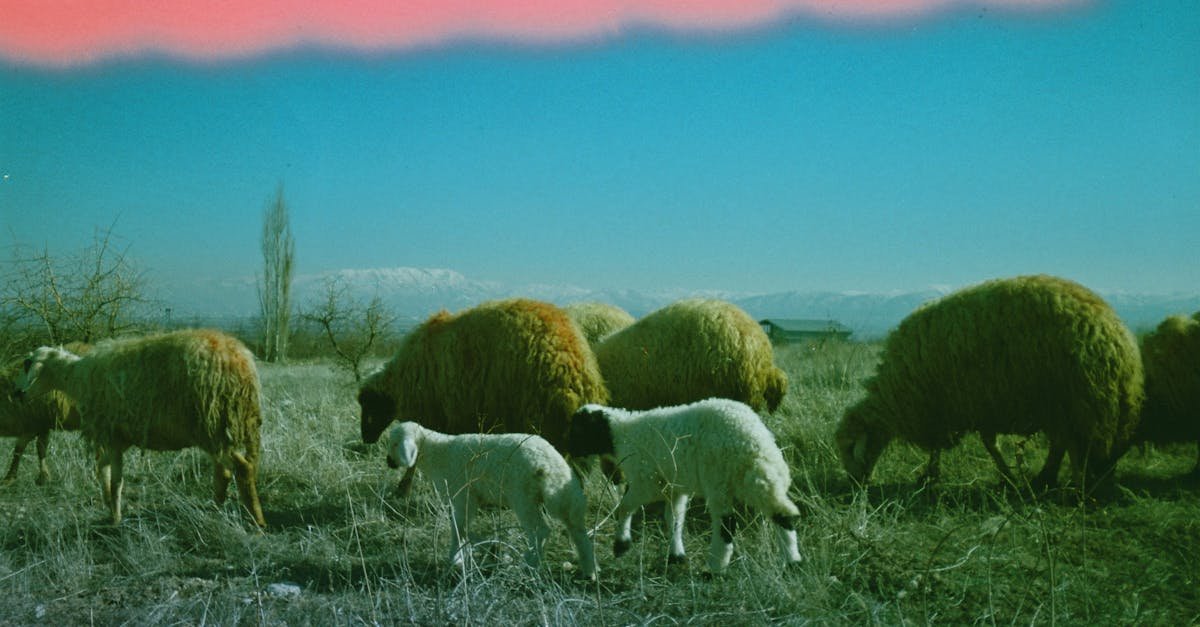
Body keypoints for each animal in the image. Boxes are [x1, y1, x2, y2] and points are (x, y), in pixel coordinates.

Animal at [12, 330, 266, 526]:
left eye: (27, 365)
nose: (16, 394)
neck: (78, 377)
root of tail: (242, 361)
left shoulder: (111, 434)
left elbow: (116, 481)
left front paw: (115, 517)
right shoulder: (118, 438)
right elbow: (102, 470)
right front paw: (108, 505)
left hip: (211, 426)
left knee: (242, 468)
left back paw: (257, 521)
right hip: (219, 429)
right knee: (225, 471)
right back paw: (217, 508)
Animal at [385, 421, 597, 579]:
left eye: (394, 444)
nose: (388, 462)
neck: (438, 453)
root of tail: (550, 466)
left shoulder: (462, 495)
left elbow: (458, 527)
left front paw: (455, 558)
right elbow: (463, 528)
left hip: (523, 496)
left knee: (541, 530)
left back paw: (528, 565)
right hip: (564, 495)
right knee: (576, 529)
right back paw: (589, 570)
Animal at [565, 398, 803, 573]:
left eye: (578, 429)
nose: (568, 451)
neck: (621, 435)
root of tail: (754, 442)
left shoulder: (646, 481)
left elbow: (624, 507)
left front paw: (621, 545)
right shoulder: (674, 488)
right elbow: (674, 520)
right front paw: (676, 555)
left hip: (719, 480)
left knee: (726, 524)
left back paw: (715, 568)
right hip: (760, 478)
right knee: (781, 513)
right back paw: (793, 562)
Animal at [835, 274, 1144, 495]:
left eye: (850, 448)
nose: (854, 484)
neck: (894, 394)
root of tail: (1119, 341)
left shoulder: (951, 405)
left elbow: (973, 444)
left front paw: (933, 475)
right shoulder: (971, 405)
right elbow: (976, 443)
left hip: (1073, 400)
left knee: (1068, 445)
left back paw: (1069, 485)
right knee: (1062, 444)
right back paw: (1046, 479)